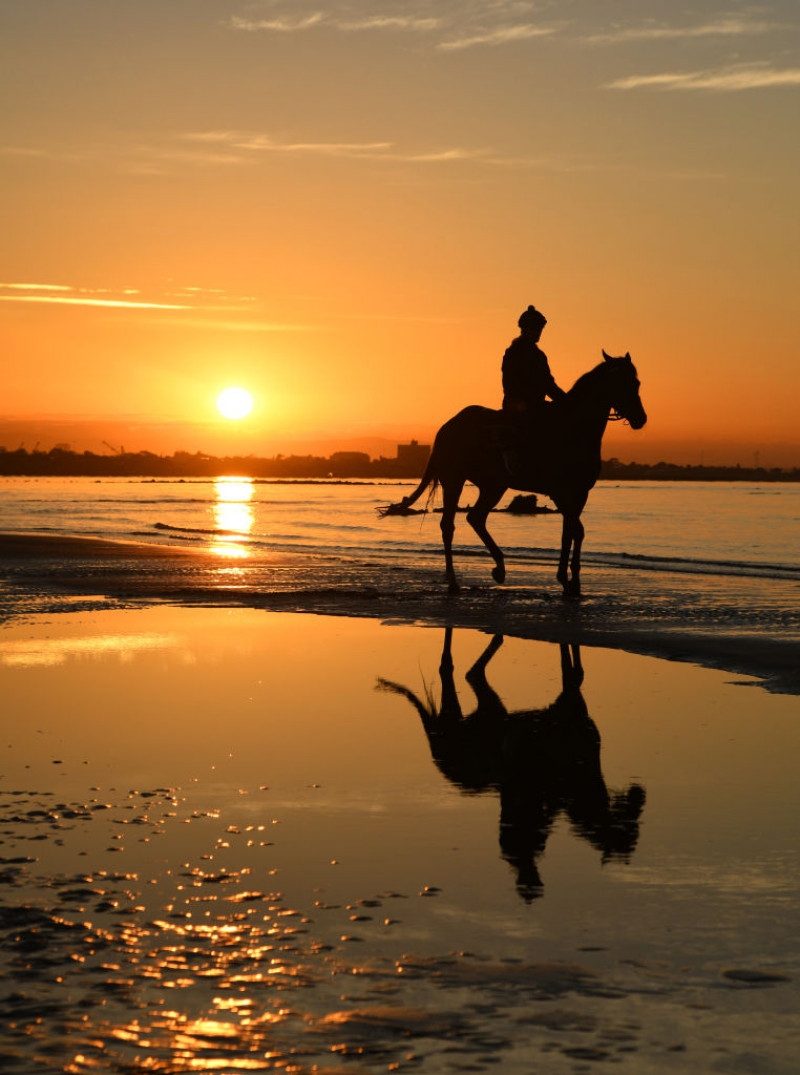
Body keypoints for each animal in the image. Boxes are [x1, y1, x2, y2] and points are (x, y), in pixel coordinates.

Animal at [378, 356, 645, 602]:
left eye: (638, 382)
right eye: (630, 383)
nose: (641, 419)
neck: (574, 429)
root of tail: (446, 428)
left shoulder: (579, 493)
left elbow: (573, 533)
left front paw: (572, 582)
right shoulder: (561, 492)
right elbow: (572, 531)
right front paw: (567, 580)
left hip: (493, 485)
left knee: (476, 518)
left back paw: (499, 567)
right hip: (455, 480)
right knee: (449, 526)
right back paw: (455, 581)